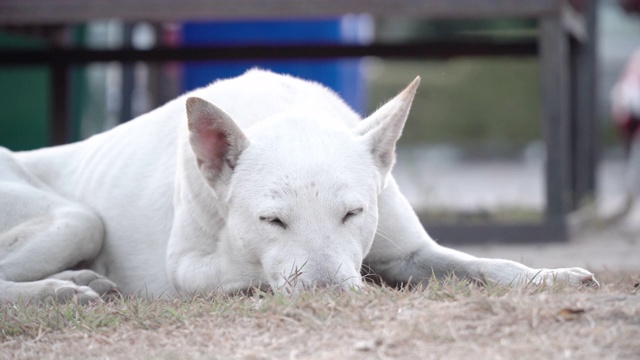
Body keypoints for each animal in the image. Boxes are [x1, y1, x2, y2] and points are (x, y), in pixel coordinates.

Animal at [2, 69, 596, 302]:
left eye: (353, 213)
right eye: (272, 221)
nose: (331, 296)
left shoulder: (411, 250)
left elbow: (488, 264)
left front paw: (551, 275)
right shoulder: (187, 268)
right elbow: (250, 272)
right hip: (77, 220)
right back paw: (59, 290)